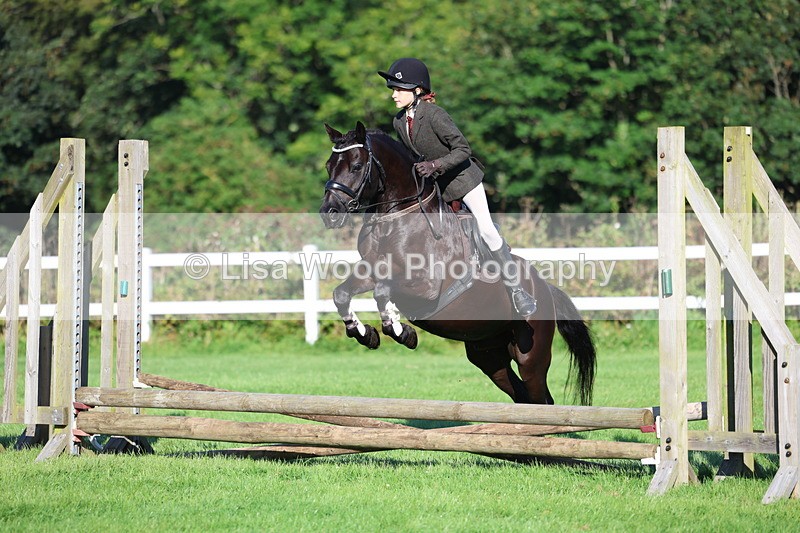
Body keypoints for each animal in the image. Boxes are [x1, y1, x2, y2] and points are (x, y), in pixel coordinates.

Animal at [319, 121, 596, 405]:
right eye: (329, 166)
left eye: (356, 166)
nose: (329, 213)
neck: (395, 219)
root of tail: (546, 289)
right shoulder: (372, 271)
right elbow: (342, 294)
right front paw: (366, 334)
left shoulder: (425, 287)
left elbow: (382, 291)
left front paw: (403, 332)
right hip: (489, 356)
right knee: (520, 393)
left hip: (531, 355)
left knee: (541, 397)